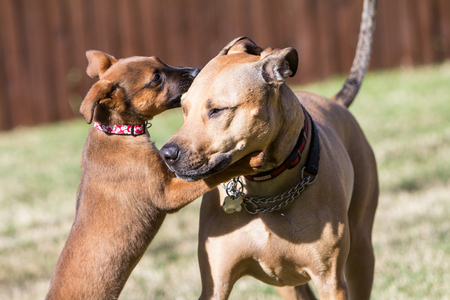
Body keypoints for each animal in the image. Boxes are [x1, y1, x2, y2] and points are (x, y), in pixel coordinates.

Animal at [44, 50, 264, 298]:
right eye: (156, 78)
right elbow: (209, 177)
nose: (196, 70)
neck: (118, 132)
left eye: (159, 60)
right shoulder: (166, 195)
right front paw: (247, 161)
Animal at [160, 0, 378, 298]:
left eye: (217, 110)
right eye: (183, 108)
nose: (166, 154)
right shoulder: (215, 284)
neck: (266, 189)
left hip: (360, 253)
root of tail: (335, 101)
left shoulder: (330, 282)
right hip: (289, 284)